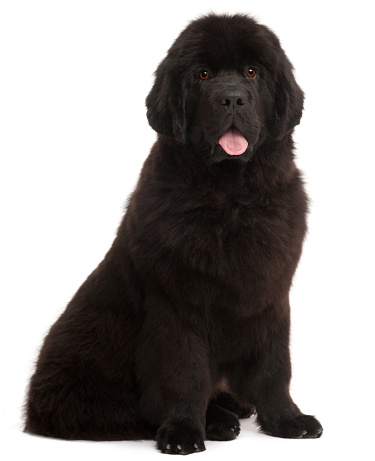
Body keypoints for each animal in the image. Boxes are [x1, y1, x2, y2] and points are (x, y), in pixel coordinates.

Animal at [24, 13, 324, 452]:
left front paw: (287, 420)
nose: (232, 99)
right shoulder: (177, 303)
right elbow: (184, 372)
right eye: (202, 74)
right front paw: (183, 431)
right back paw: (217, 420)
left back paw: (233, 407)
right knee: (129, 409)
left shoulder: (269, 296)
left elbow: (274, 366)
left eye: (252, 72)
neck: (230, 199)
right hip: (84, 383)